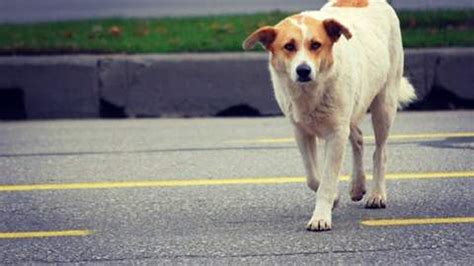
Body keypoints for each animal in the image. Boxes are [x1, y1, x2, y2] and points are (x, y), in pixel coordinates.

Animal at [243, 0, 416, 232]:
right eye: (289, 46)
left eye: (316, 45)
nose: (303, 70)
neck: (310, 93)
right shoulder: (301, 132)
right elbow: (313, 178)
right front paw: (334, 198)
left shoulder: (335, 134)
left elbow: (326, 180)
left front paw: (320, 217)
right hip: (350, 111)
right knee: (358, 138)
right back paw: (357, 186)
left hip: (384, 104)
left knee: (380, 151)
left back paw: (377, 194)